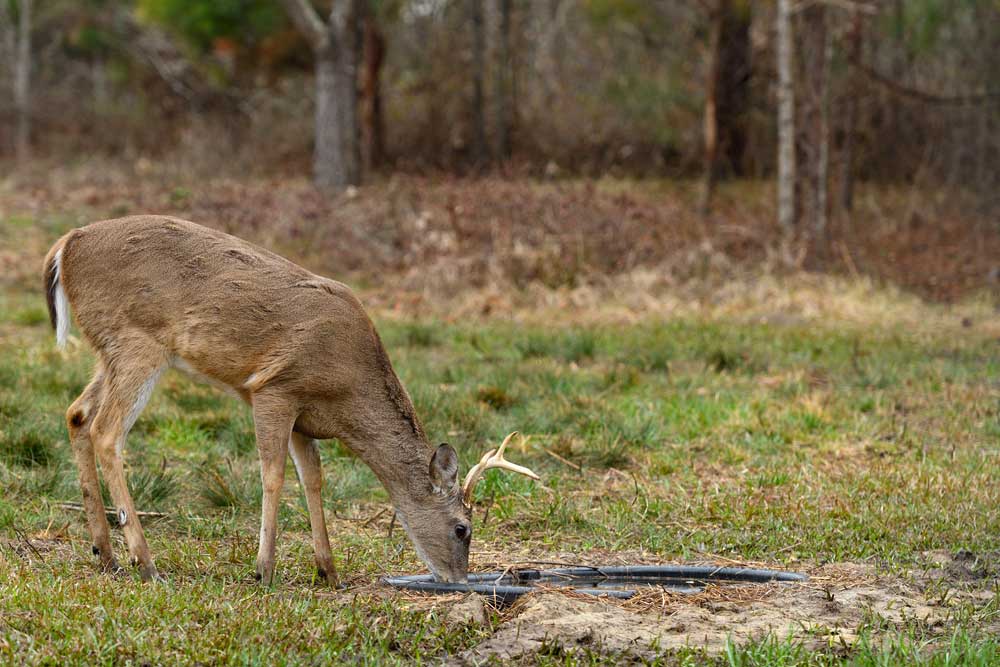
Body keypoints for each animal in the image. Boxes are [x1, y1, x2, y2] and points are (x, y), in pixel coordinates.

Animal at [43, 218, 540, 584]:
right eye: (462, 528)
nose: (458, 580)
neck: (347, 393)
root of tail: (66, 245)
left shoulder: (306, 416)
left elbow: (314, 481)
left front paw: (329, 572)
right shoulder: (274, 388)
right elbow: (273, 475)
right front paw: (263, 570)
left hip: (110, 350)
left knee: (77, 414)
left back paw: (105, 553)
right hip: (137, 340)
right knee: (107, 431)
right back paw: (144, 562)